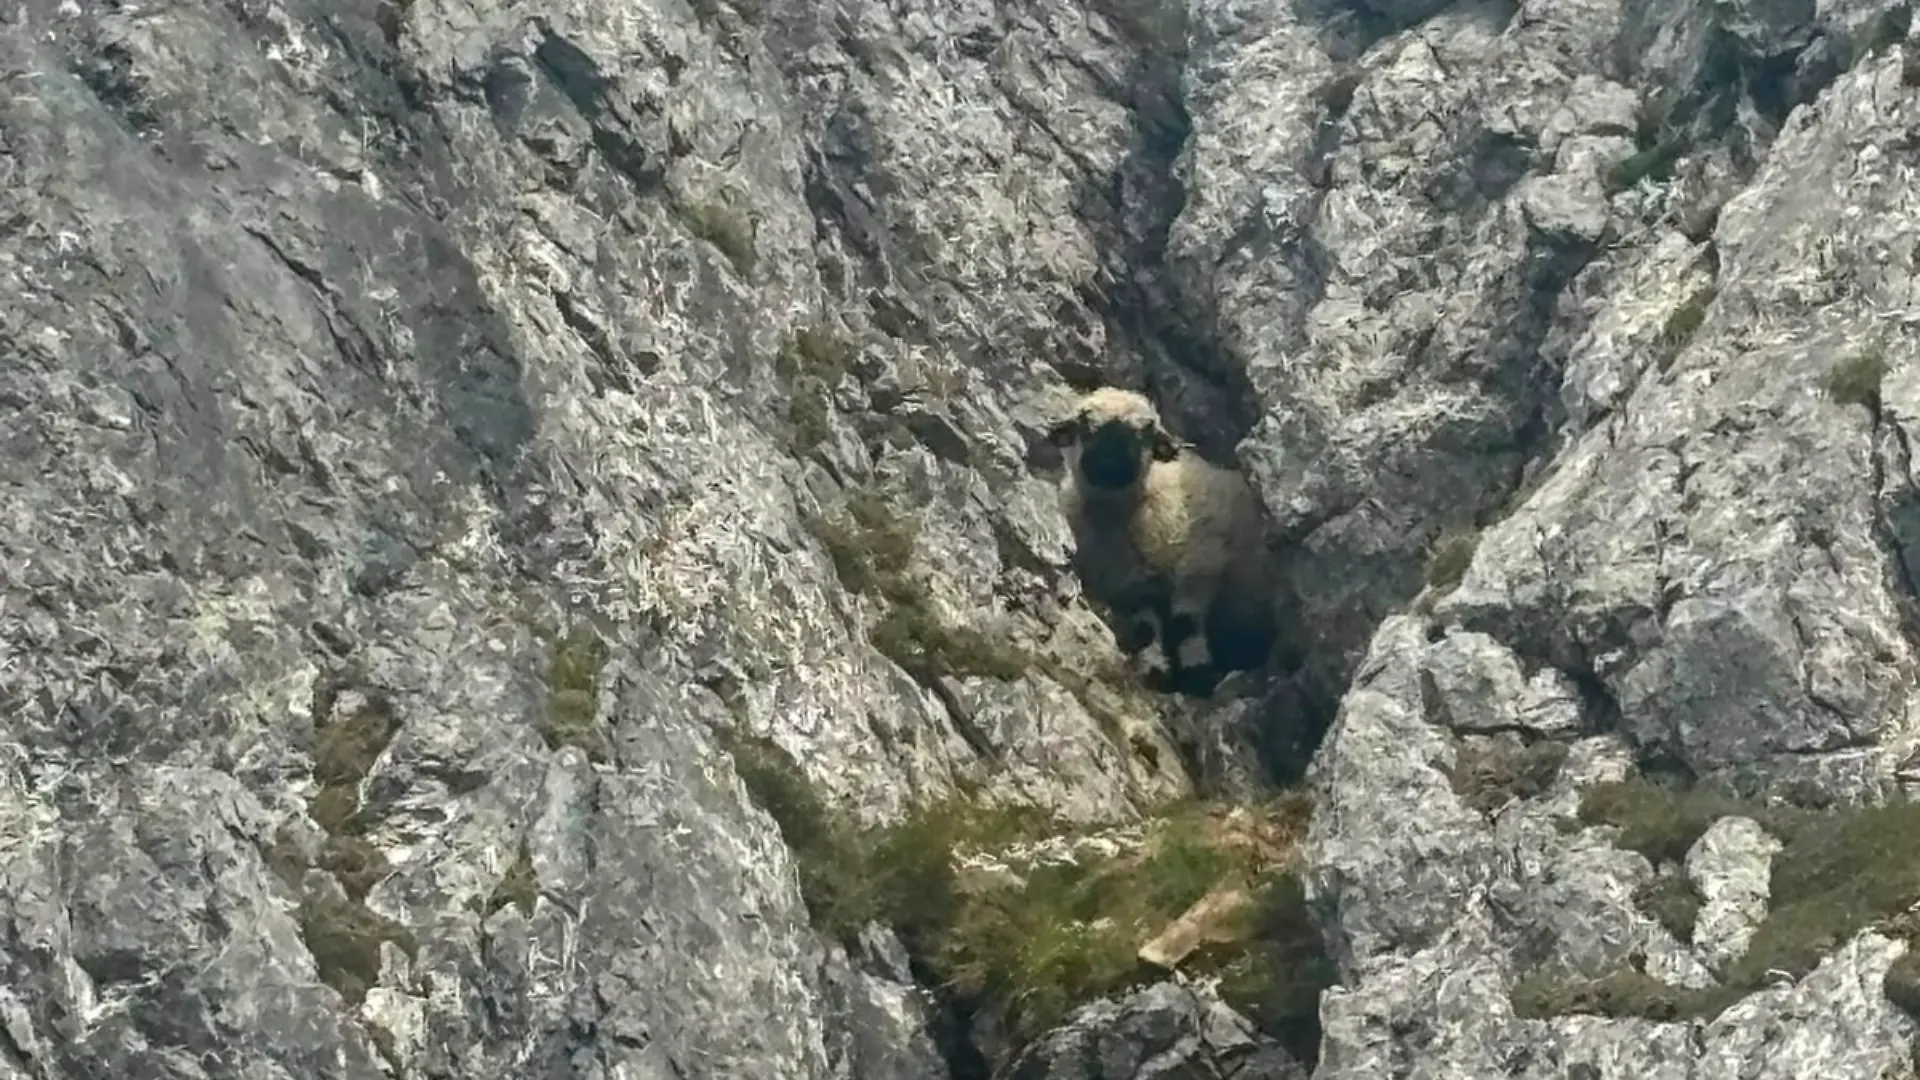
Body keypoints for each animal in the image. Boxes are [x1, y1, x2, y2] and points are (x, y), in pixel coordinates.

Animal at [1049, 387, 1277, 693]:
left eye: (1145, 434)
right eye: (1085, 426)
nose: (1110, 460)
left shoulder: (1200, 564)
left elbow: (1185, 624)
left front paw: (1198, 674)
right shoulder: (1133, 586)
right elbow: (1145, 630)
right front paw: (1156, 669)